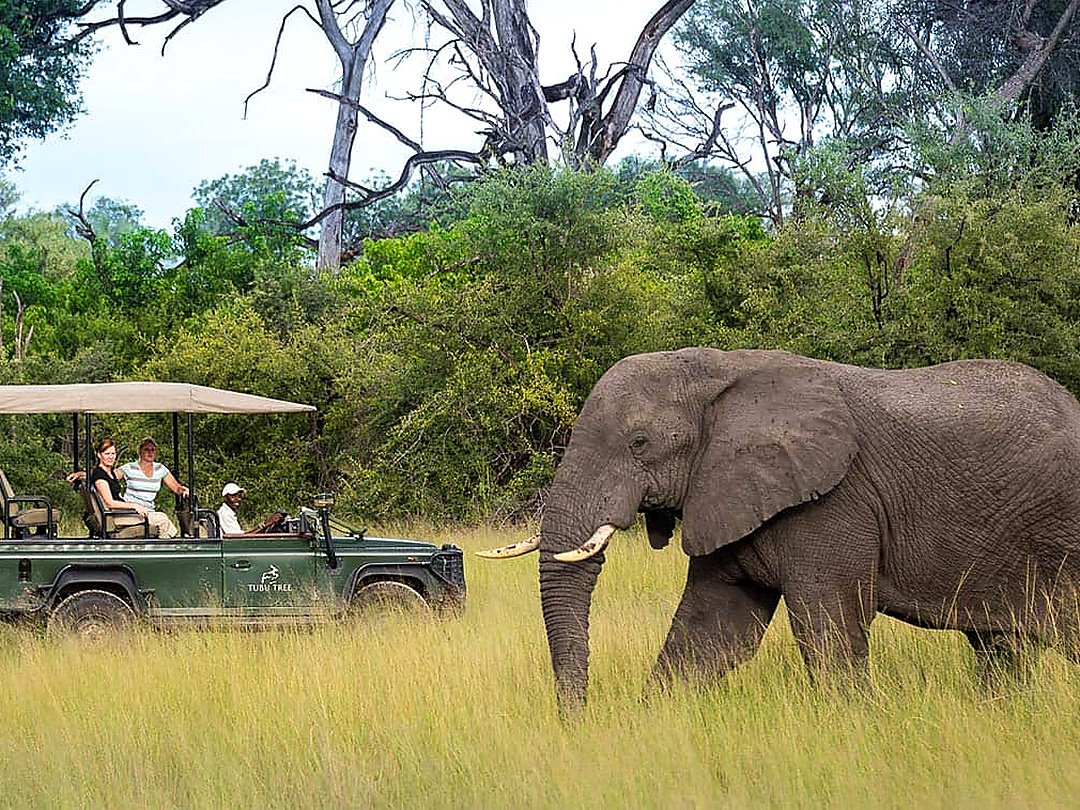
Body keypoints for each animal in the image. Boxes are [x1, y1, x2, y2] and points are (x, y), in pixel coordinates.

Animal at [480, 348, 1080, 713]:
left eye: (640, 443)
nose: (577, 721)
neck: (720, 372)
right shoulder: (726, 490)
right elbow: (711, 629)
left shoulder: (836, 503)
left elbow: (828, 628)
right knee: (1001, 648)